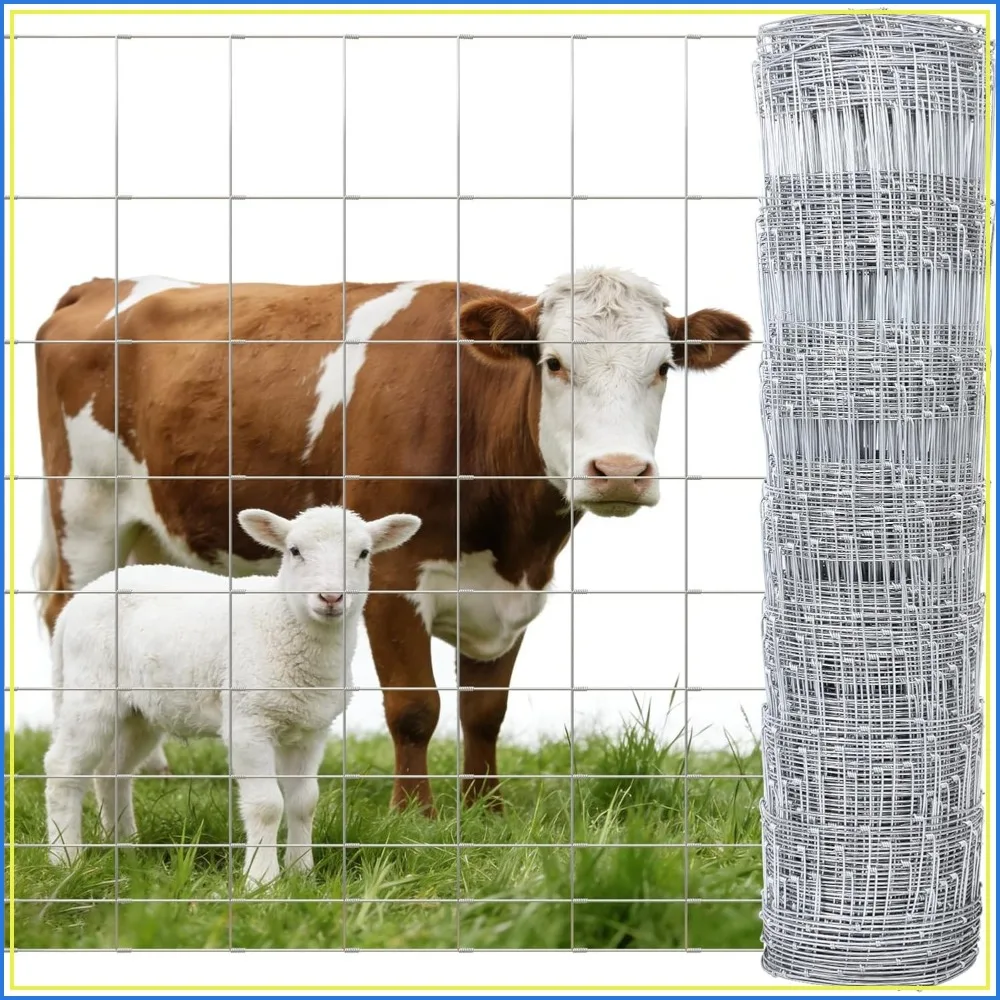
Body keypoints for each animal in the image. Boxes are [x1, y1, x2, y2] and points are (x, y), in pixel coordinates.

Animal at [34, 268, 750, 814]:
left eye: (663, 367)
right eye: (553, 363)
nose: (620, 472)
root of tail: (100, 286)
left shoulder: (514, 594)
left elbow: (484, 711)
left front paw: (485, 811)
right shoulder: (390, 577)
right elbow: (415, 707)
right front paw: (417, 815)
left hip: (149, 529)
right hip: (86, 509)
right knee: (62, 613)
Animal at [44, 504, 422, 886]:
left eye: (364, 554)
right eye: (294, 551)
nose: (330, 598)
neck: (282, 618)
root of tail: (75, 606)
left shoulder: (310, 730)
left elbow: (304, 802)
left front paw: (302, 874)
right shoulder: (247, 723)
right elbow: (267, 805)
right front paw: (262, 881)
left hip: (140, 711)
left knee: (111, 770)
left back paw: (126, 849)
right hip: (90, 692)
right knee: (63, 769)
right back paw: (66, 861)